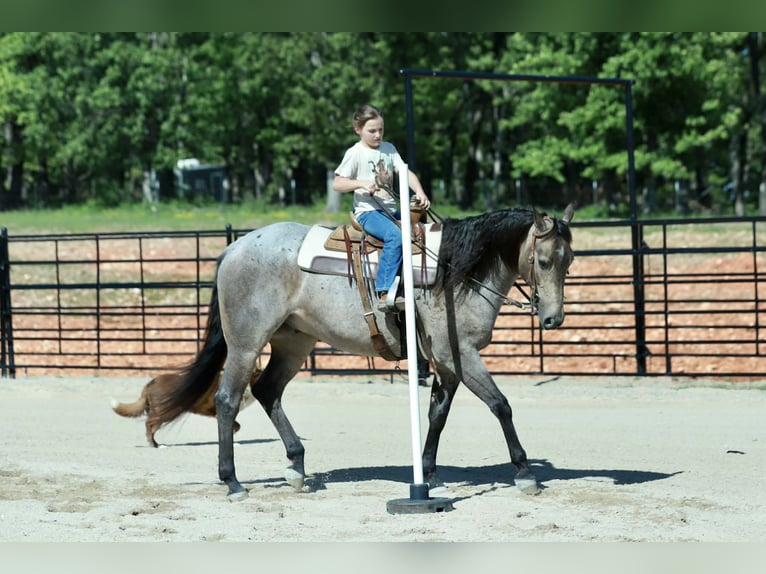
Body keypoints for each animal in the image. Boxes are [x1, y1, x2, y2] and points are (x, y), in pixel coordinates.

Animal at [156, 203, 575, 499]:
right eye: (543, 261)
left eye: (569, 261)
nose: (553, 319)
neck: (455, 272)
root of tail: (233, 249)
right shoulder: (461, 355)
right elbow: (501, 405)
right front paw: (524, 472)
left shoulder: (447, 364)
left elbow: (437, 415)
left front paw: (430, 476)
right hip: (246, 343)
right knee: (228, 400)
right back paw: (233, 482)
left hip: (293, 343)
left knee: (267, 391)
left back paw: (296, 468)